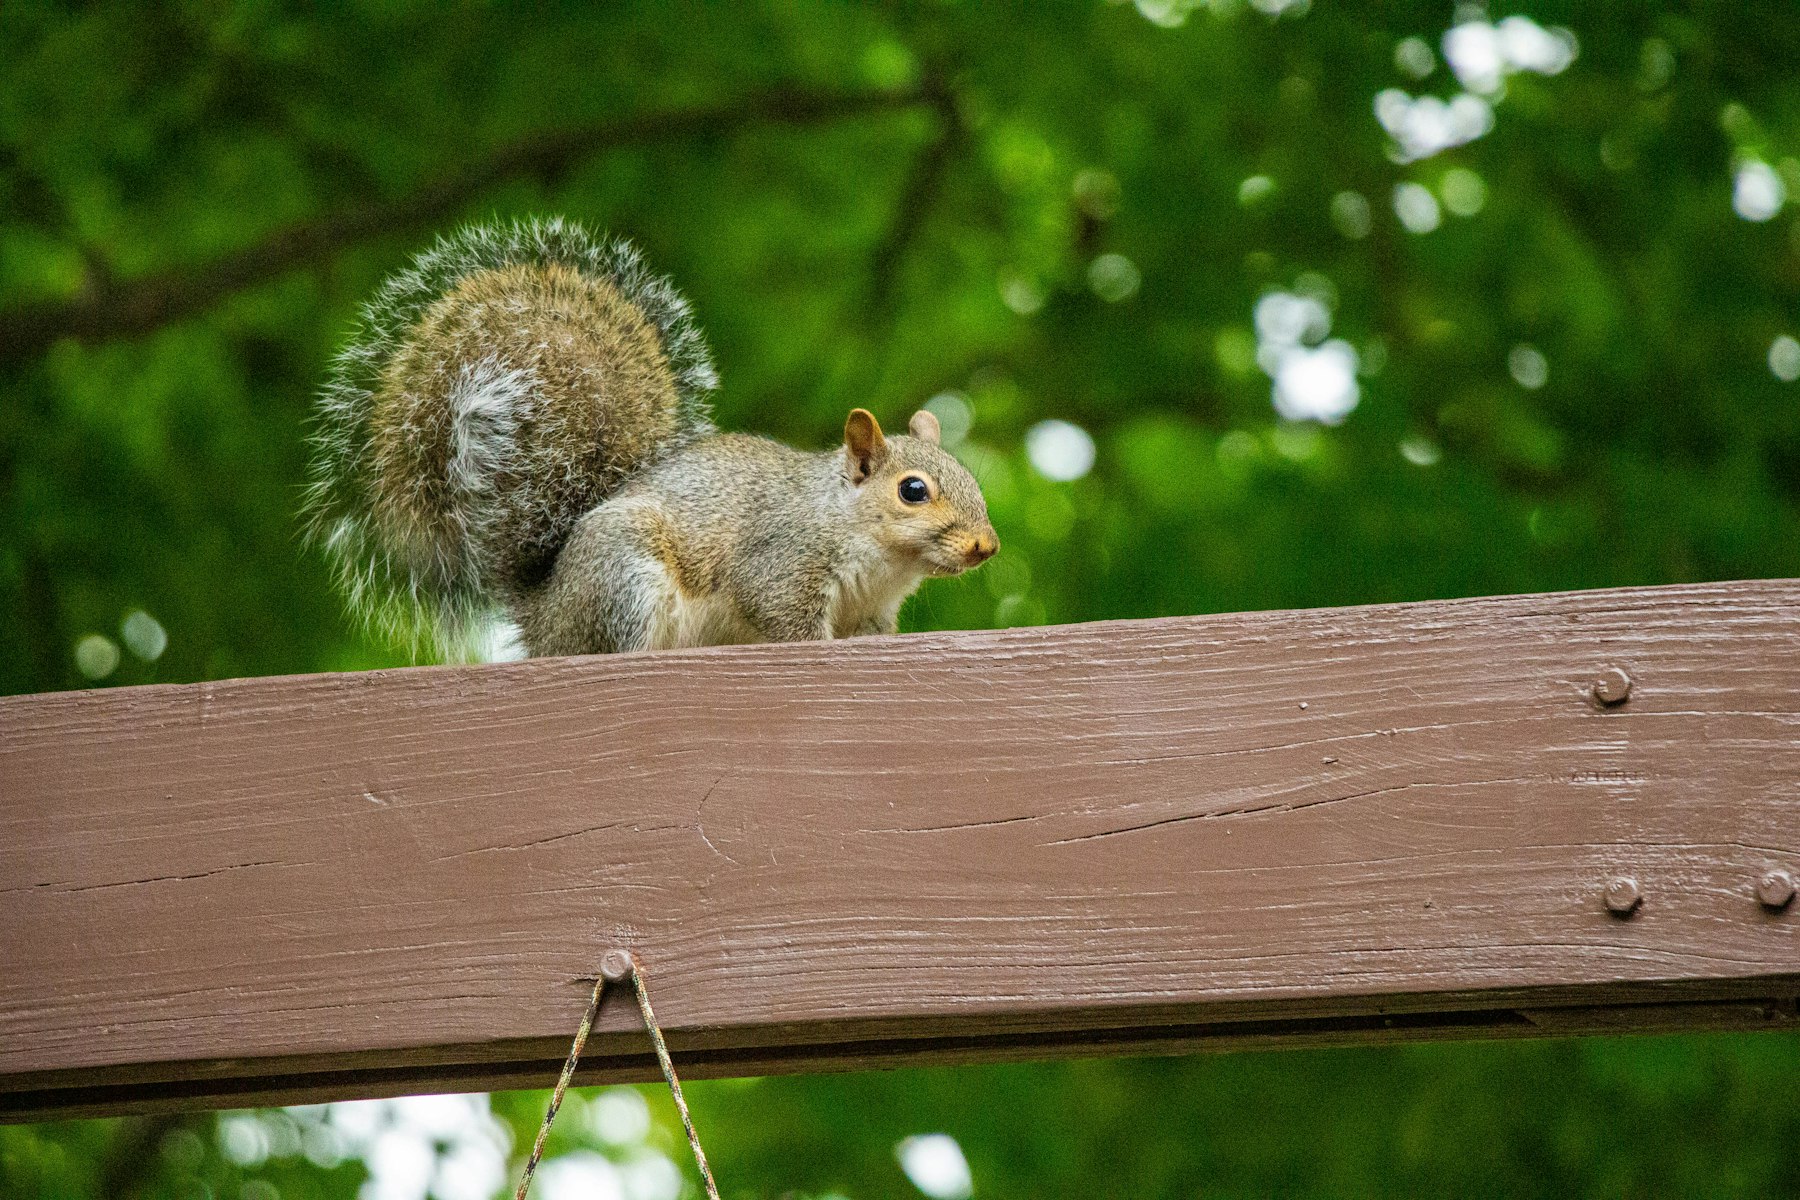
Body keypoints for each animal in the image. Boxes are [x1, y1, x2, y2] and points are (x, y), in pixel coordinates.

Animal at [304, 217, 998, 659]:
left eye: (973, 481)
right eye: (913, 490)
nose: (986, 546)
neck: (877, 553)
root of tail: (545, 618)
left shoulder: (873, 612)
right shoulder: (783, 562)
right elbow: (783, 617)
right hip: (626, 575)